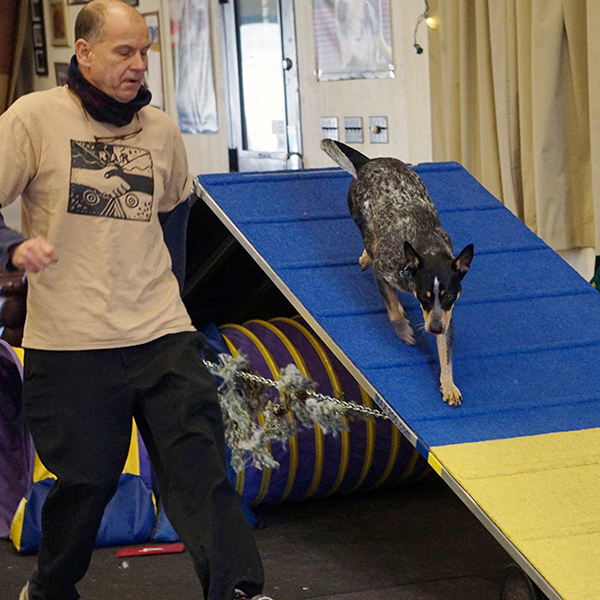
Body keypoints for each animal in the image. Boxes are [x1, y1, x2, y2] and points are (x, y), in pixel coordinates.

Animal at [322, 138, 476, 406]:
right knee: (369, 239)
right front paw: (404, 329)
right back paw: (368, 254)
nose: (435, 329)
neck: (427, 249)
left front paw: (448, 385)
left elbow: (446, 355)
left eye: (448, 295)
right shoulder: (382, 272)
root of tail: (369, 162)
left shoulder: (447, 315)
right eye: (424, 296)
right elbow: (393, 311)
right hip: (361, 215)